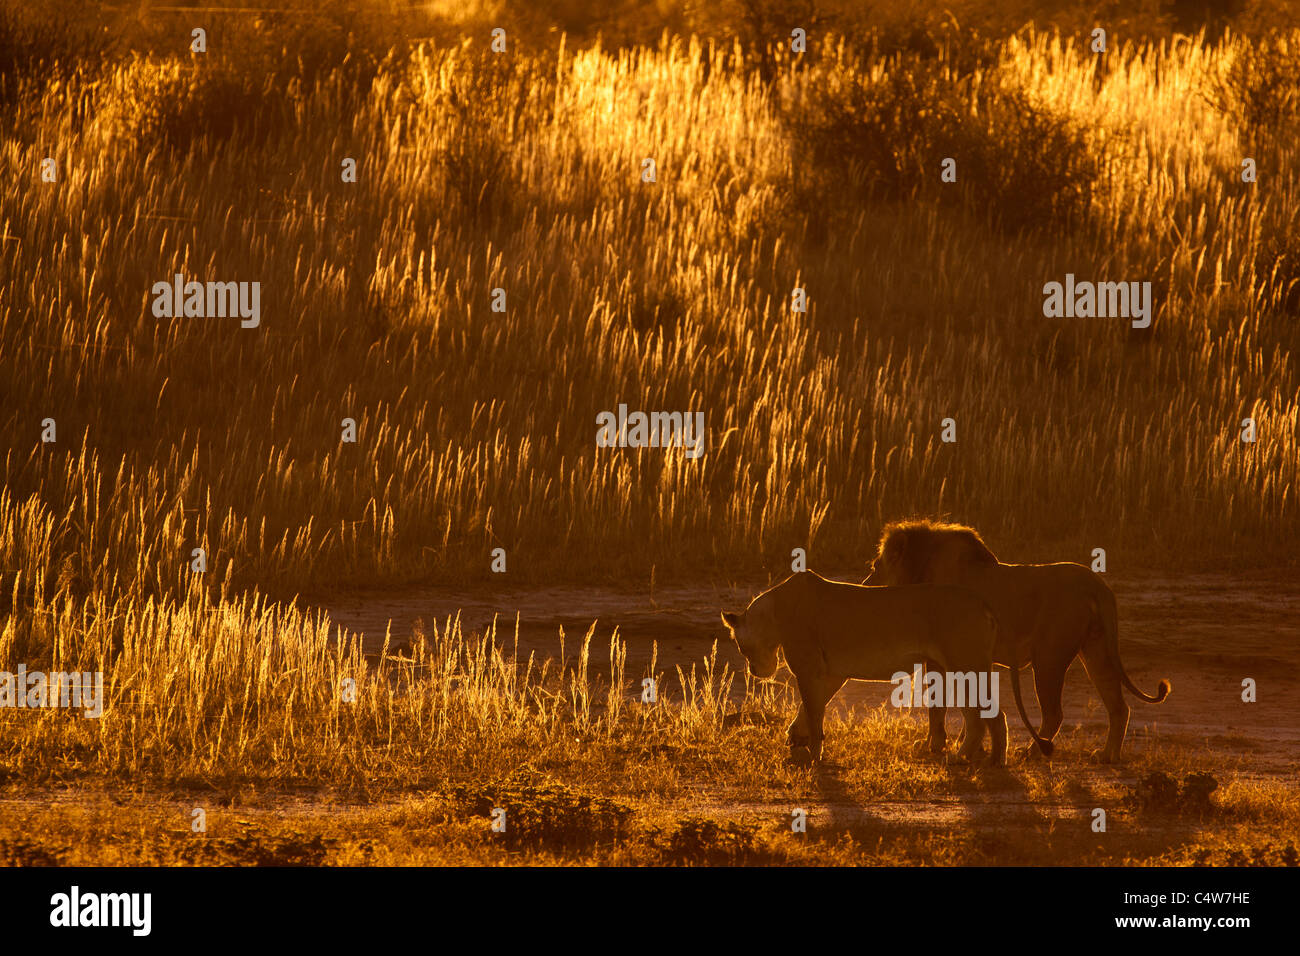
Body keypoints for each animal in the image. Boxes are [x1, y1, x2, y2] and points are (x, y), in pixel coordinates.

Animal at [717, 572, 1050, 764]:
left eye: (740, 647)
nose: (754, 672)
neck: (772, 614)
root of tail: (981, 600)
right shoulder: (832, 672)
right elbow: (814, 705)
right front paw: (796, 737)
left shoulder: (809, 668)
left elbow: (813, 711)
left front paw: (813, 754)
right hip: (958, 668)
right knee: (985, 716)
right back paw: (984, 760)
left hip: (964, 664)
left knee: (988, 716)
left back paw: (976, 759)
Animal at [868, 520, 1175, 764]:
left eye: (875, 565)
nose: (865, 584)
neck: (921, 569)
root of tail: (1097, 585)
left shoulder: (939, 656)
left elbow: (937, 705)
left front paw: (934, 746)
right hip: (1096, 650)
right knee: (1118, 707)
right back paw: (1108, 756)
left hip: (1049, 657)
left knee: (1054, 713)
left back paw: (1032, 751)